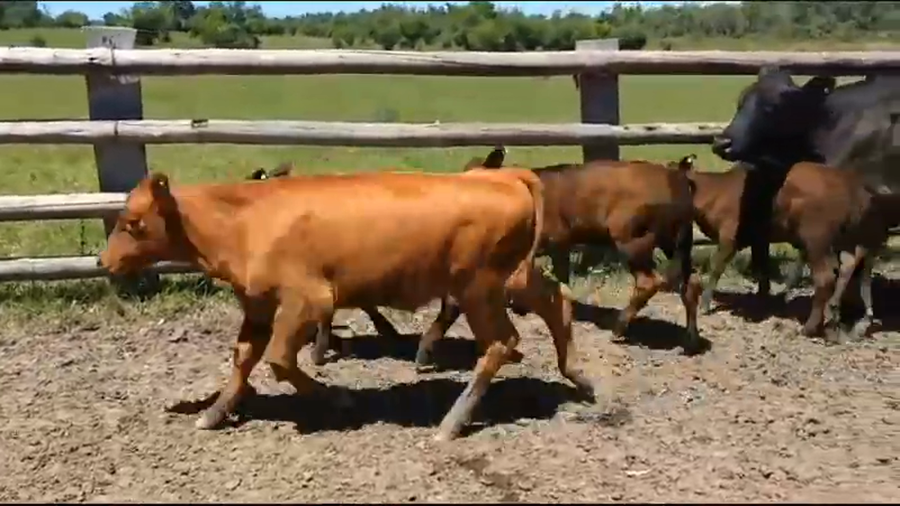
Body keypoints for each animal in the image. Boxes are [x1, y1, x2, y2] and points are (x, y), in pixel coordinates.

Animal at [98, 169, 595, 441]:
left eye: (133, 222)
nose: (103, 262)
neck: (244, 222)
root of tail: (504, 176)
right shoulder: (257, 305)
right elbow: (243, 358)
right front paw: (214, 413)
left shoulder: (308, 300)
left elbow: (279, 360)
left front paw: (339, 398)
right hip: (513, 279)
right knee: (558, 302)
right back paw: (580, 377)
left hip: (479, 287)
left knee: (501, 342)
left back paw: (452, 422)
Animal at [414, 147, 705, 359]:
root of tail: (677, 178)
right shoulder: (558, 246)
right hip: (677, 242)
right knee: (691, 283)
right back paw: (690, 340)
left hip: (633, 239)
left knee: (649, 281)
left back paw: (618, 327)